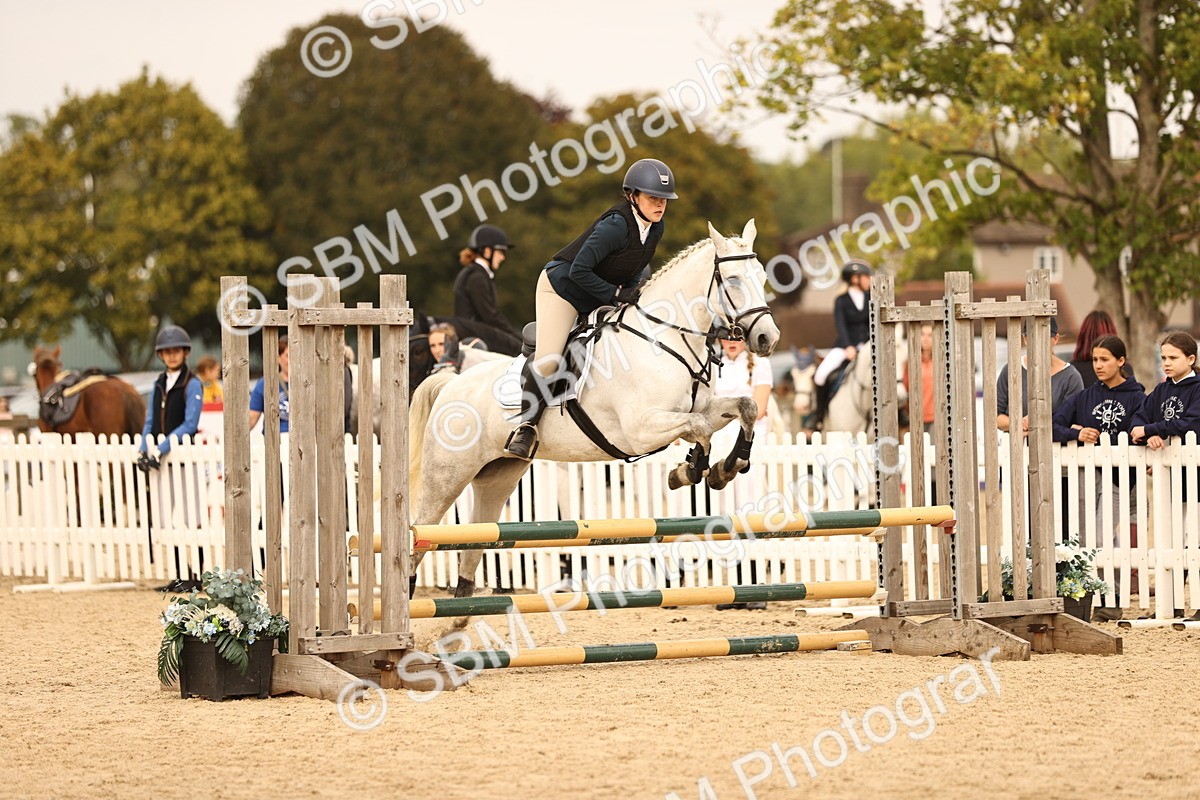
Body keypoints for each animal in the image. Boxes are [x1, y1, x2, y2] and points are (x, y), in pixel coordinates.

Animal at [407, 220, 781, 600]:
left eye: (762, 276)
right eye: (732, 280)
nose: (768, 339)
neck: (664, 339)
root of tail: (451, 384)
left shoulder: (704, 407)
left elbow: (746, 407)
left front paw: (726, 467)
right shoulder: (641, 429)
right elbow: (700, 429)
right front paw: (689, 471)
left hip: (498, 475)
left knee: (474, 538)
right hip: (448, 474)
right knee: (420, 529)